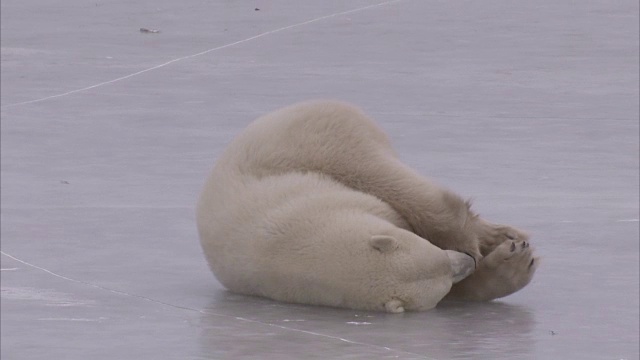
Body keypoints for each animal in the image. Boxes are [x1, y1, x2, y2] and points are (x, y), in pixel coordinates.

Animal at [198, 99, 536, 312]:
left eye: (435, 254)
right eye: (443, 274)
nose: (468, 261)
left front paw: (506, 251)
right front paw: (511, 263)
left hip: (319, 136)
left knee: (377, 171)